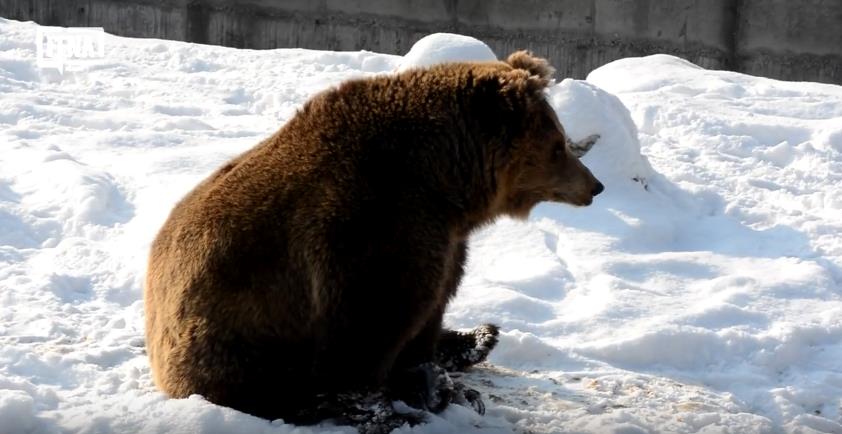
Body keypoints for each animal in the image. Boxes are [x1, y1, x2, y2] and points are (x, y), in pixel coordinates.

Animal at [144, 50, 604, 430]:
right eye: (558, 146)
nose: (595, 185)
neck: (443, 181)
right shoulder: (371, 230)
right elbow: (373, 322)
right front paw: (395, 404)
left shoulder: (445, 240)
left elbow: (432, 307)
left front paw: (442, 376)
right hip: (238, 336)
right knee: (271, 385)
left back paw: (479, 338)